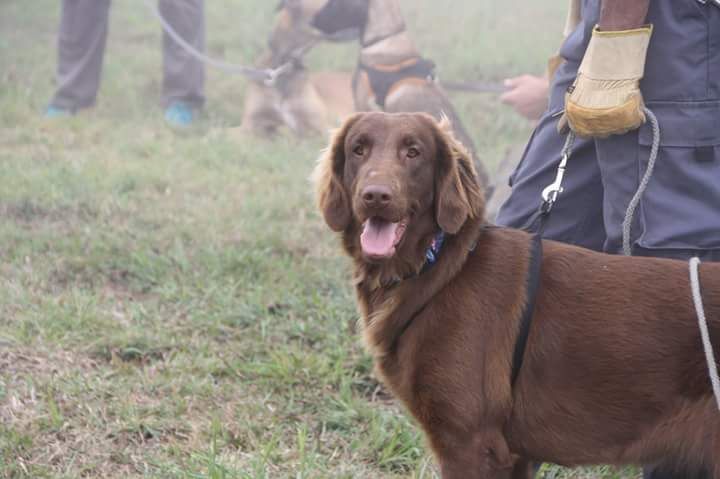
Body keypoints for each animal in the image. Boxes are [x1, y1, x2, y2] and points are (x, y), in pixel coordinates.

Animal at [316, 110, 720, 478]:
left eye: (413, 152)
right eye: (358, 150)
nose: (375, 196)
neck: (442, 269)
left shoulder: (469, 443)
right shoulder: (513, 453)